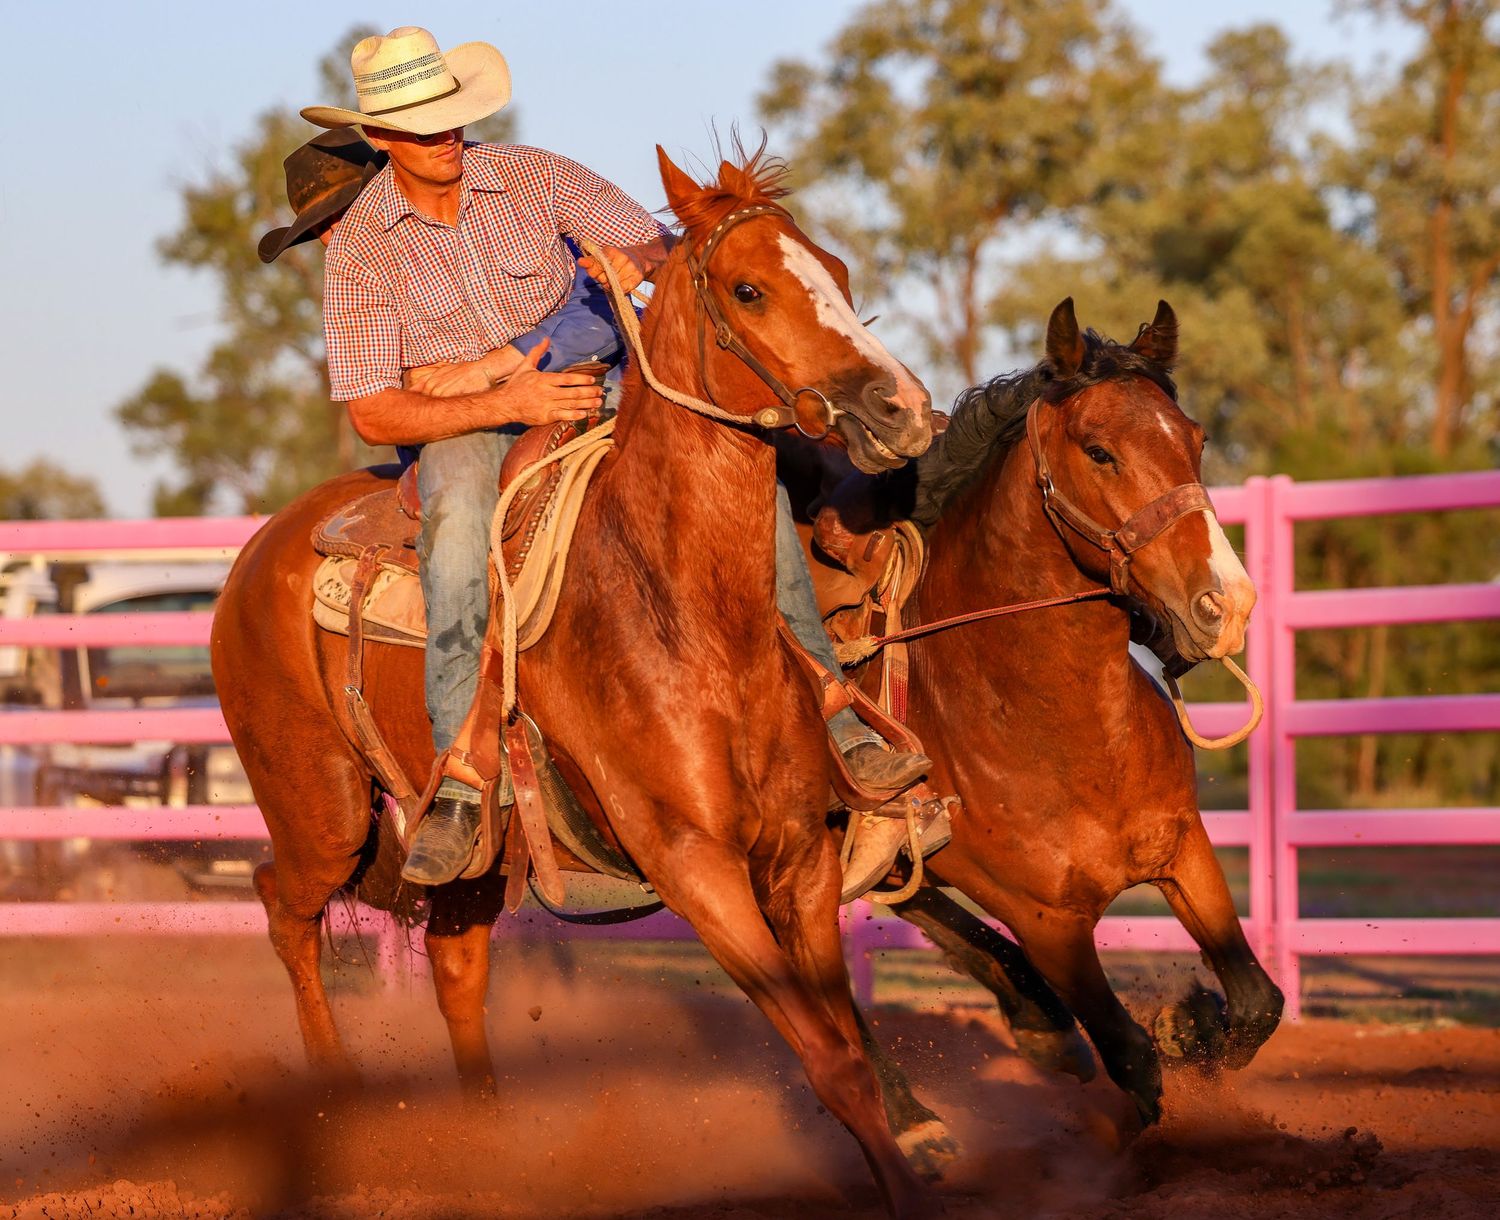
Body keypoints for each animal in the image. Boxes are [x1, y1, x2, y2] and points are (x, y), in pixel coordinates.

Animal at [211, 146, 943, 1218]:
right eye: (749, 290)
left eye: (840, 274)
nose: (902, 410)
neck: (685, 613)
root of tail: (257, 556)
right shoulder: (692, 865)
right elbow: (829, 1060)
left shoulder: (801, 858)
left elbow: (847, 1044)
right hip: (320, 807)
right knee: (283, 908)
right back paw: (337, 1103)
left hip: (473, 852)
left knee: (453, 959)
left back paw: (489, 1143)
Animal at [800, 298, 1284, 1129]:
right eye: (1100, 451)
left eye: (1195, 440)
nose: (1226, 604)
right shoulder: (1047, 921)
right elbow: (1132, 1060)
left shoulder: (1183, 848)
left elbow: (1257, 1004)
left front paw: (1192, 1025)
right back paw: (916, 1122)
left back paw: (1040, 1027)